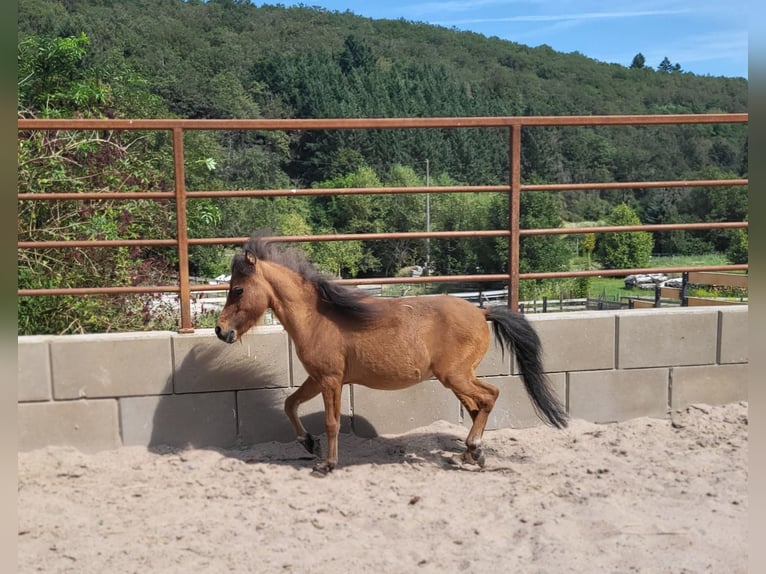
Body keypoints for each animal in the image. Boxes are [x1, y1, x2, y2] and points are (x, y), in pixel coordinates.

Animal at [213, 233, 568, 476]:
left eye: (238, 290)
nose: (220, 330)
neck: (317, 319)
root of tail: (483, 312)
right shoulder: (317, 378)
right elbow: (290, 404)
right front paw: (308, 443)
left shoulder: (330, 380)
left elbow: (331, 422)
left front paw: (327, 464)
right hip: (456, 378)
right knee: (476, 406)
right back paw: (470, 454)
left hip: (456, 375)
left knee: (490, 396)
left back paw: (474, 450)